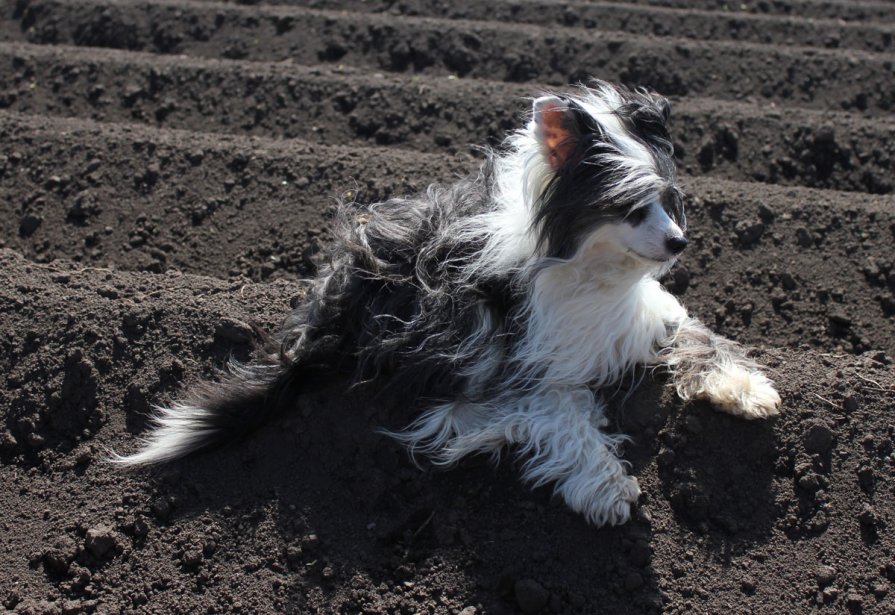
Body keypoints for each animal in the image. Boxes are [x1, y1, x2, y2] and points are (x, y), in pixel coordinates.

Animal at [115, 79, 780, 528]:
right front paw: (607, 487)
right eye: (629, 206)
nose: (679, 242)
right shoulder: (523, 366)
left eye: (670, 199)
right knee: (453, 411)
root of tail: (327, 309)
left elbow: (699, 333)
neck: (590, 267)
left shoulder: (645, 313)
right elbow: (563, 414)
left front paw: (744, 387)